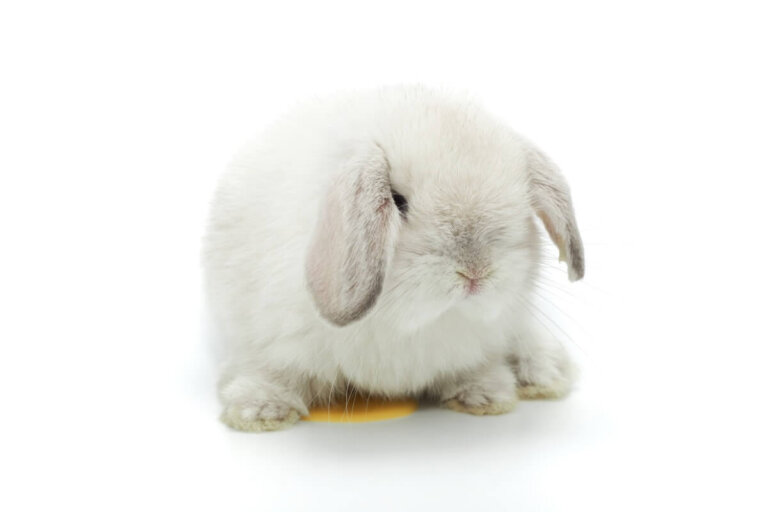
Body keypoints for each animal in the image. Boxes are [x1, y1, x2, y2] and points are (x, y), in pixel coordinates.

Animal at [204, 86, 584, 432]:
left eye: (522, 202)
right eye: (398, 202)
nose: (475, 272)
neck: (406, 324)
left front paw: (485, 394)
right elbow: (274, 372)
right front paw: (261, 411)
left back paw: (543, 372)